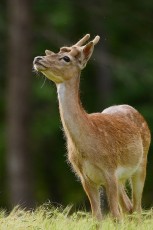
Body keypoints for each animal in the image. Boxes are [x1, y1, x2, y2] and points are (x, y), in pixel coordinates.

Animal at [33, 33, 151, 221]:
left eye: (66, 58)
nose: (38, 58)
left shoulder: (110, 172)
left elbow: (115, 216)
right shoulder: (85, 178)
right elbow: (97, 217)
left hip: (141, 163)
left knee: (137, 209)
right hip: (121, 178)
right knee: (128, 208)